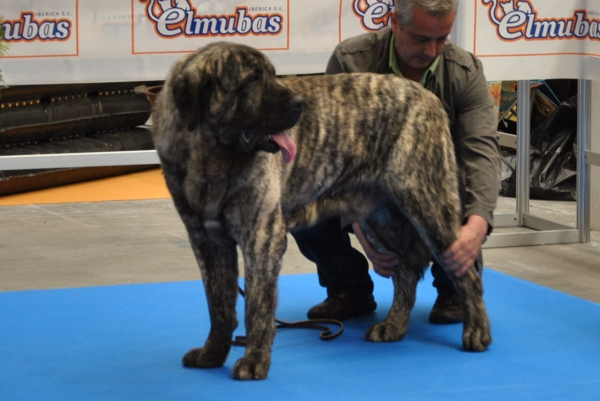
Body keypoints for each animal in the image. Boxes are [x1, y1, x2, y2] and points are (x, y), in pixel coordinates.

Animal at [151, 42, 492, 380]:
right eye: (252, 80)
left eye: (271, 74)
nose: (299, 103)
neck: (211, 156)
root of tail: (427, 96)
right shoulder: (208, 241)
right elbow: (219, 306)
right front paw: (212, 354)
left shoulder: (261, 237)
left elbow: (256, 307)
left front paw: (254, 361)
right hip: (380, 219)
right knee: (405, 273)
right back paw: (393, 326)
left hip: (427, 204)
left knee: (464, 273)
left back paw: (476, 331)